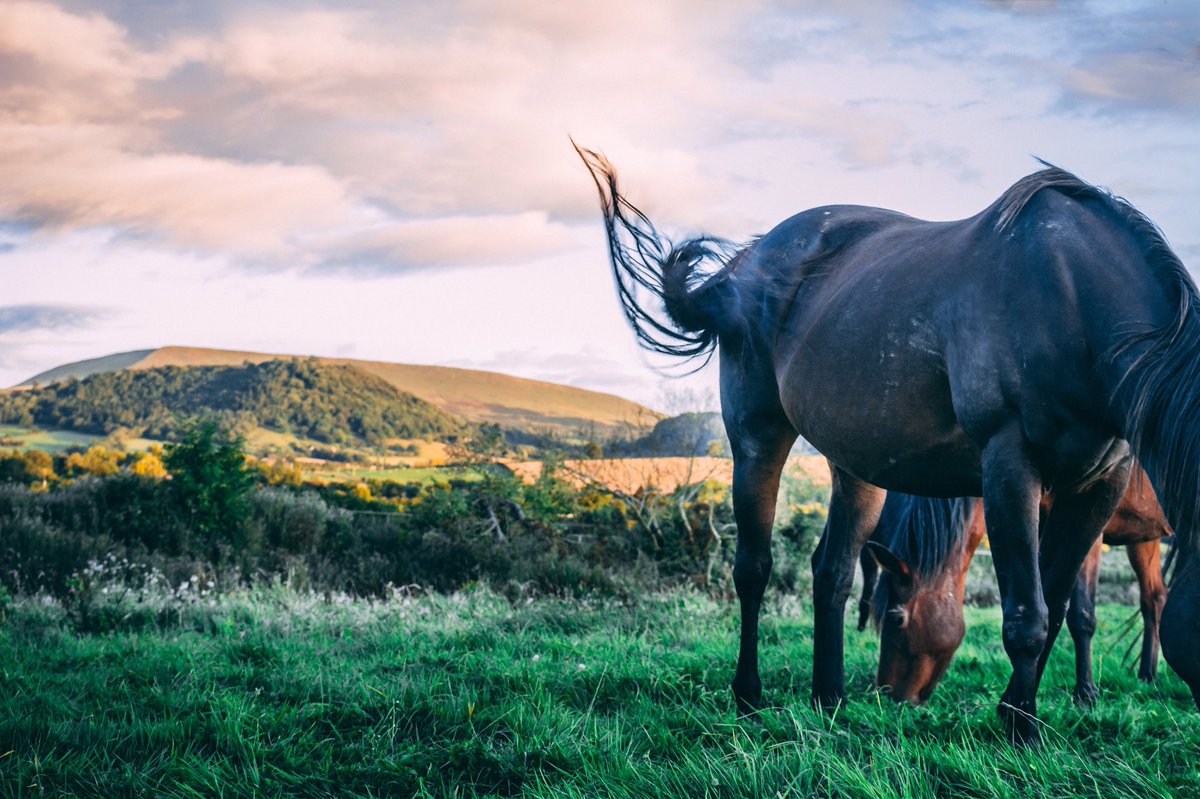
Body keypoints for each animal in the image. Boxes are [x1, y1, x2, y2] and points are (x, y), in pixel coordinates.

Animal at [864, 467, 1171, 705]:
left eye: (896, 618)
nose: (887, 694)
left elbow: (1081, 615)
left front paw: (1085, 694)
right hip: (1145, 539)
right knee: (1153, 599)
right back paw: (1147, 675)